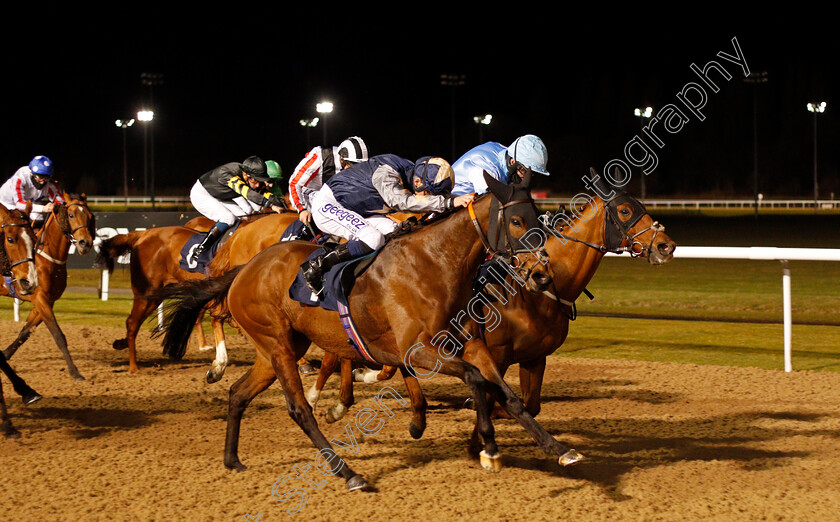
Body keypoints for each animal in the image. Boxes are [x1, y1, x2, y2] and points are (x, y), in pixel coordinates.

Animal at [0, 193, 95, 380]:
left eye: (89, 216)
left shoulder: (46, 301)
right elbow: (58, 334)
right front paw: (75, 372)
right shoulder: (40, 298)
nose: (85, 243)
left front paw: (4, 355)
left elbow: (26, 332)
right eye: (71, 215)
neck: (48, 258)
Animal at [154, 173, 584, 490]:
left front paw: (558, 448)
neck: (435, 262)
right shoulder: (419, 351)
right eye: (516, 221)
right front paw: (489, 448)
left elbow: (507, 394)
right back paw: (349, 473)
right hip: (277, 346)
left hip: (279, 348)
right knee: (299, 409)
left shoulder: (470, 343)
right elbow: (478, 381)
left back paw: (232, 459)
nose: (542, 275)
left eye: (539, 218)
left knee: (238, 393)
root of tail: (244, 268)